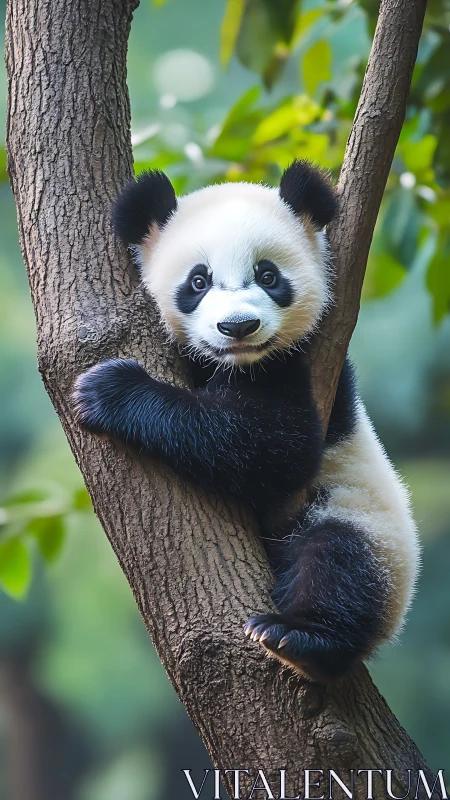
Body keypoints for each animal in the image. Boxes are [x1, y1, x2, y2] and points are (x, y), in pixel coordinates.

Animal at [73, 160, 420, 682]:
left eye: (268, 275)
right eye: (198, 281)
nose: (238, 327)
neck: (236, 364)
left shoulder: (307, 369)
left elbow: (276, 446)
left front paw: (110, 390)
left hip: (370, 520)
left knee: (341, 560)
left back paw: (300, 639)